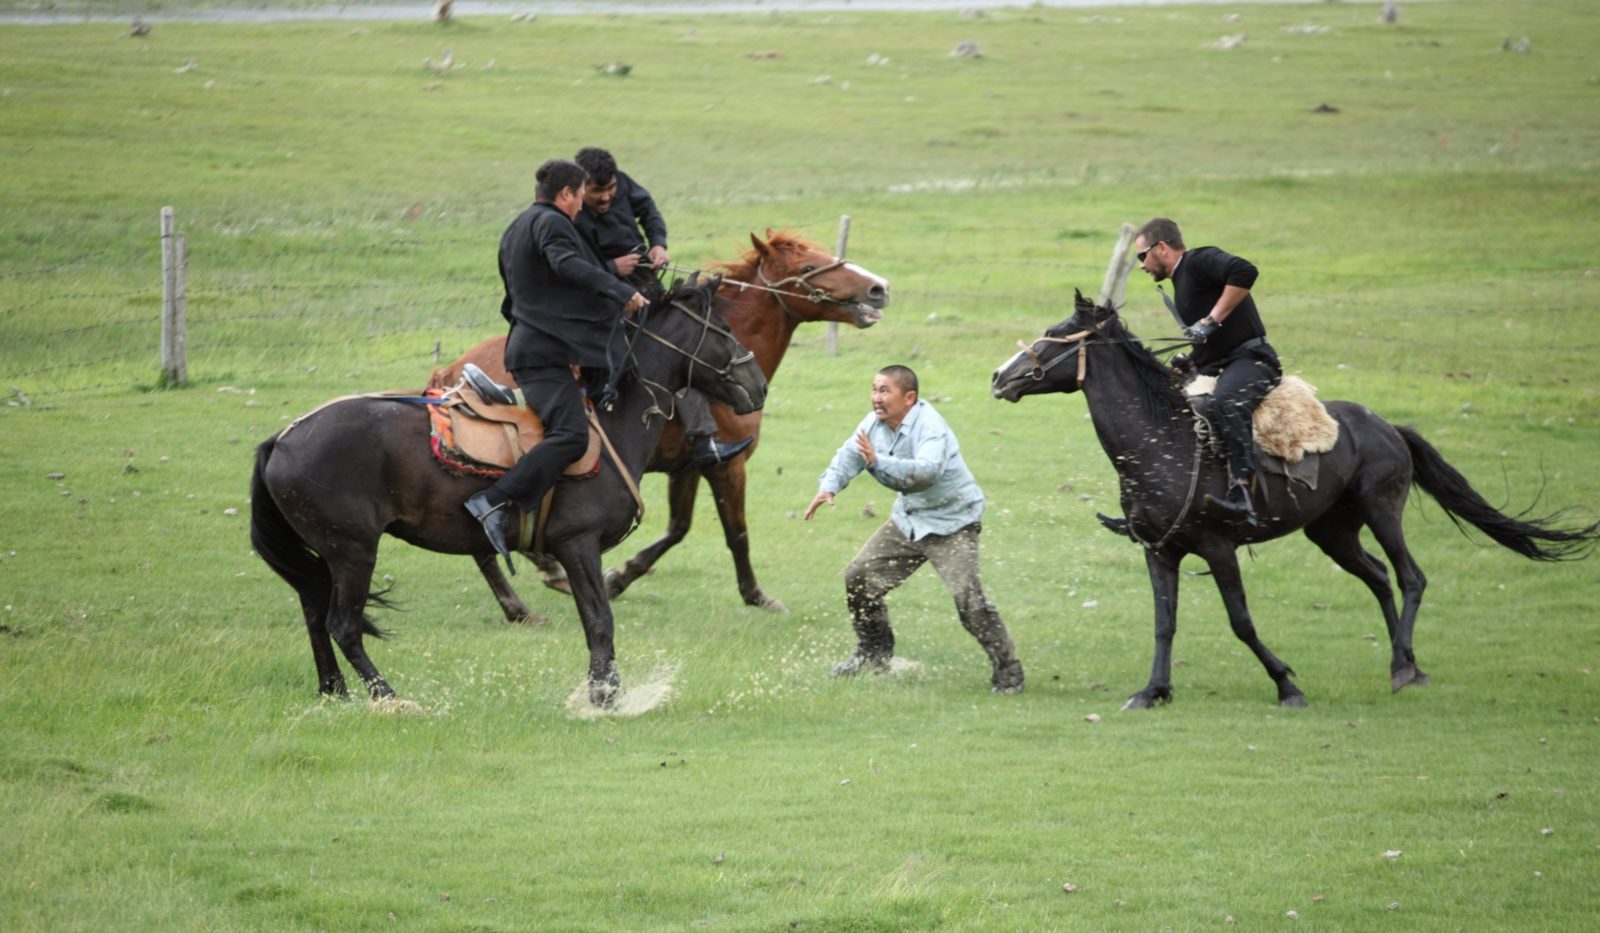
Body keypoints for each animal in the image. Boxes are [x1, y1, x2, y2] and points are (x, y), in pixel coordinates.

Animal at [251, 280, 768, 707]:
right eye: (723, 329)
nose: (758, 385)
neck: (610, 424)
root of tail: (283, 438)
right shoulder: (577, 544)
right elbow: (600, 619)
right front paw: (604, 696)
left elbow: (595, 617)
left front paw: (604, 690)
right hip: (353, 552)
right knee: (343, 624)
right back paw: (387, 696)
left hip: (327, 555)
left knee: (315, 612)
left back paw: (334, 692)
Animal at [432, 230, 896, 617]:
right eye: (807, 267)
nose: (878, 288)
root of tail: (451, 372)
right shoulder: (728, 466)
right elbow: (737, 534)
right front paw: (757, 595)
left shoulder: (688, 469)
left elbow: (678, 529)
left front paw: (621, 574)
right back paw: (533, 589)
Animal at [992, 291, 1593, 707]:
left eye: (1056, 333)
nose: (1000, 376)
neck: (1163, 440)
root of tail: (1386, 426)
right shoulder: (1159, 550)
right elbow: (1165, 623)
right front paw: (1153, 691)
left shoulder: (1218, 548)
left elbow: (1241, 621)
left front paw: (1286, 684)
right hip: (1332, 530)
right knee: (1379, 577)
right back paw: (1406, 660)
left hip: (1382, 509)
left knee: (1410, 577)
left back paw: (1404, 668)